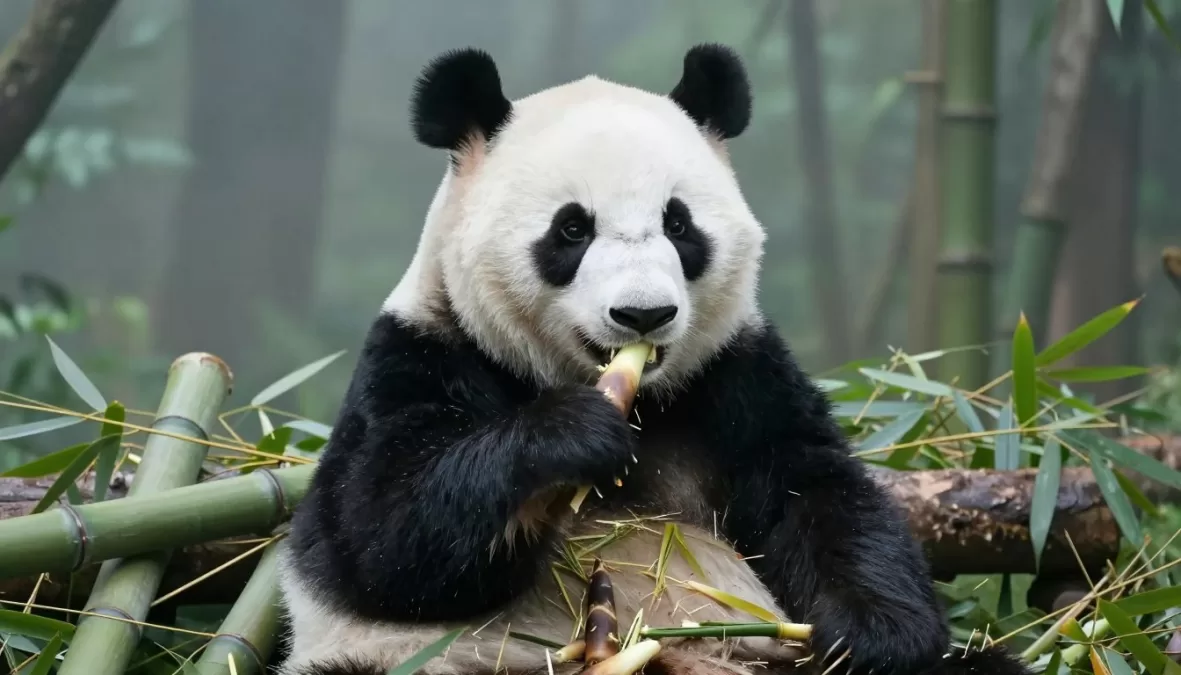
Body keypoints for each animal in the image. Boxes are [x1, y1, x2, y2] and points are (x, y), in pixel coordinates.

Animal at [275, 45, 1033, 675]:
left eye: (679, 223)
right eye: (571, 229)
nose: (643, 315)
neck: (639, 397)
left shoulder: (736, 372)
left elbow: (819, 494)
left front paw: (873, 637)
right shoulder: (422, 354)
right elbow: (385, 539)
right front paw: (571, 435)